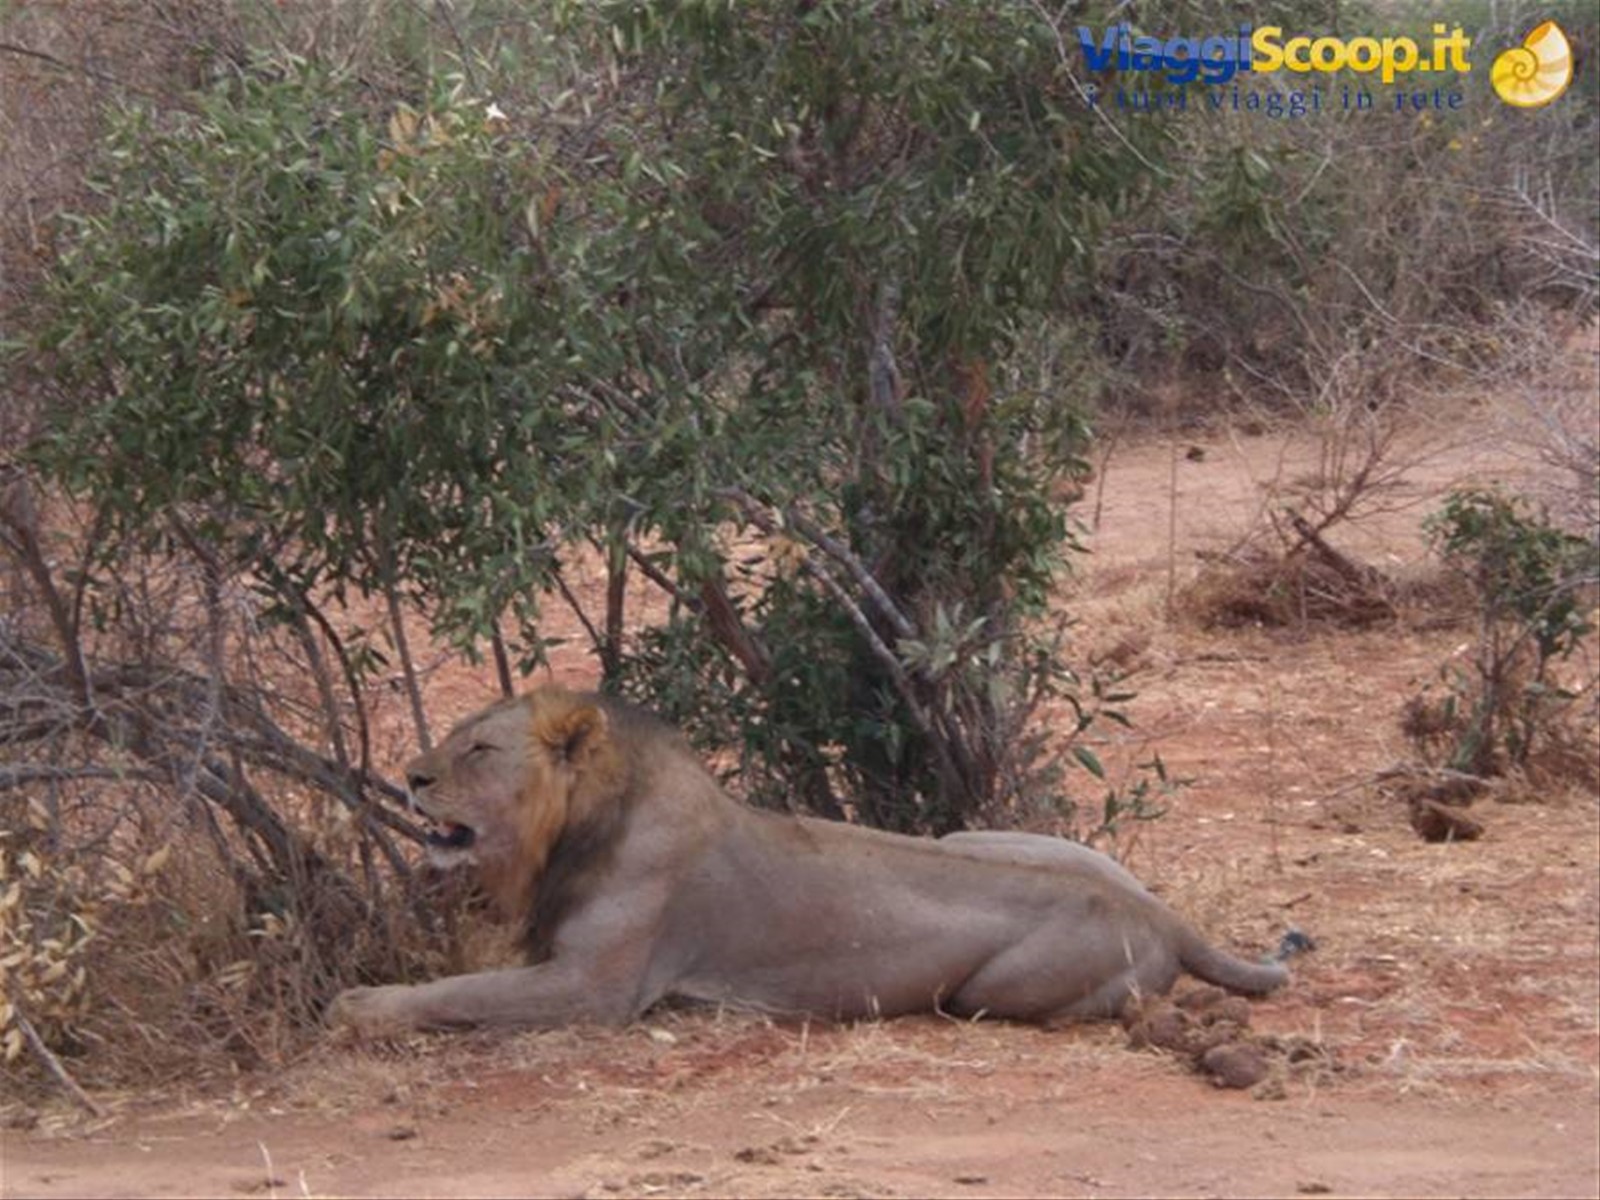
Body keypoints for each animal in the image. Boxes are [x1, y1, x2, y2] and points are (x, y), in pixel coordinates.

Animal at [330, 686, 1289, 1034]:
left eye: (479, 750)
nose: (409, 777)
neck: (576, 829)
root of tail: (1166, 913)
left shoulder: (595, 990)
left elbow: (458, 992)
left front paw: (359, 1006)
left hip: (991, 991)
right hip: (968, 838)